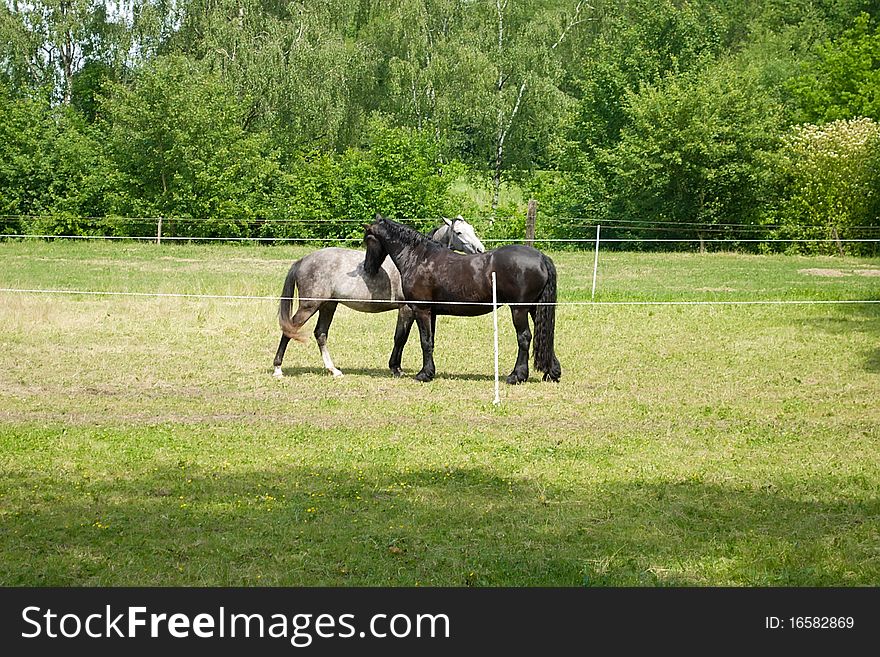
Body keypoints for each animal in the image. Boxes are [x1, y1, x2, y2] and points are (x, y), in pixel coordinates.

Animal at [274, 217, 484, 376]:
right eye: (459, 233)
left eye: (472, 229)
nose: (480, 250)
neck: (416, 259)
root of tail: (303, 260)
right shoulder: (407, 309)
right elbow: (400, 338)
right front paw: (396, 369)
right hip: (309, 306)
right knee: (289, 329)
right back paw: (278, 369)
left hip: (328, 305)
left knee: (321, 333)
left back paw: (333, 370)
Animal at [366, 215, 564, 382]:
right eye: (459, 232)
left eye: (367, 240)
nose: (368, 268)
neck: (420, 258)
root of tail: (541, 257)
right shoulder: (431, 312)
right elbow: (430, 340)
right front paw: (429, 371)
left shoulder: (421, 310)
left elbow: (424, 341)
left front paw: (424, 374)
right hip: (535, 308)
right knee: (546, 335)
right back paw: (551, 373)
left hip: (519, 309)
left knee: (524, 337)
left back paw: (517, 375)